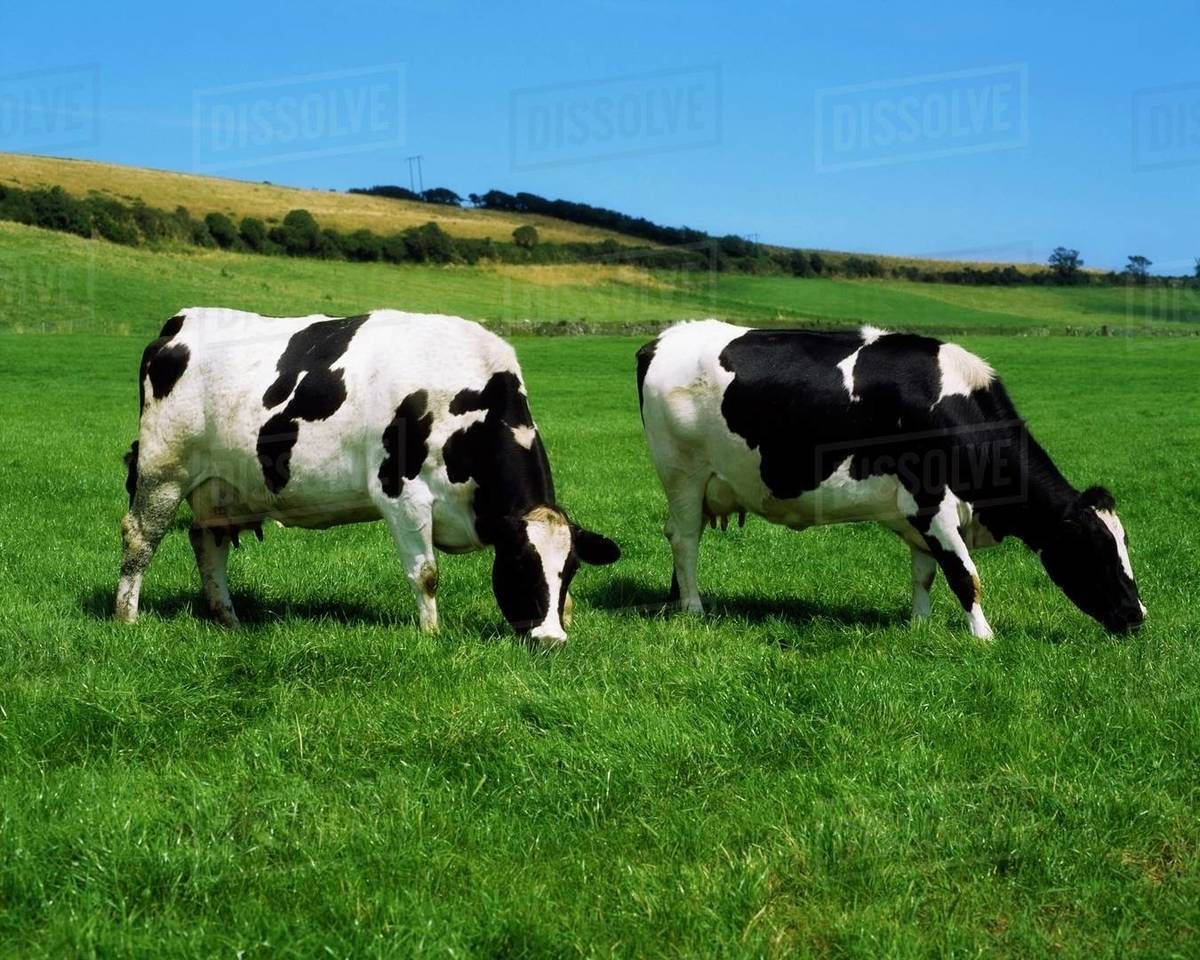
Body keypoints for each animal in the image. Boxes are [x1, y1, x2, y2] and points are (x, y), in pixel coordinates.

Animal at [116, 308, 620, 646]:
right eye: (518, 563)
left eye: (571, 569)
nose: (550, 641)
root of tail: (180, 323)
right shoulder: (403, 496)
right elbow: (426, 574)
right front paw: (431, 635)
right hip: (162, 470)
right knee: (139, 538)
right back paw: (127, 618)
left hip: (219, 486)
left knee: (207, 541)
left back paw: (229, 620)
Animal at [636, 320, 1145, 638]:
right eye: (1096, 549)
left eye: (1124, 544)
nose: (1137, 616)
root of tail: (662, 340)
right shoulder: (932, 503)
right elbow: (965, 574)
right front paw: (984, 636)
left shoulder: (916, 515)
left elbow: (925, 573)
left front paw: (920, 625)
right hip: (683, 473)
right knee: (685, 538)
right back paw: (695, 608)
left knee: (682, 541)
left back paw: (679, 599)